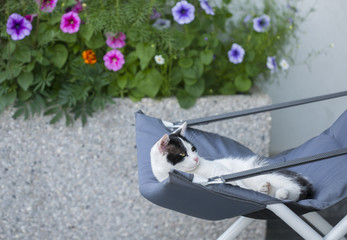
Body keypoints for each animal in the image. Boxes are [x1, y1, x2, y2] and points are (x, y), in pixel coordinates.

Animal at [151, 123, 314, 202]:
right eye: (182, 154)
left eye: (193, 149)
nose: (196, 159)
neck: (194, 172)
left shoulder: (222, 171)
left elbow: (241, 185)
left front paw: (253, 190)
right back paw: (271, 191)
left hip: (270, 174)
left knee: (296, 190)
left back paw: (281, 192)